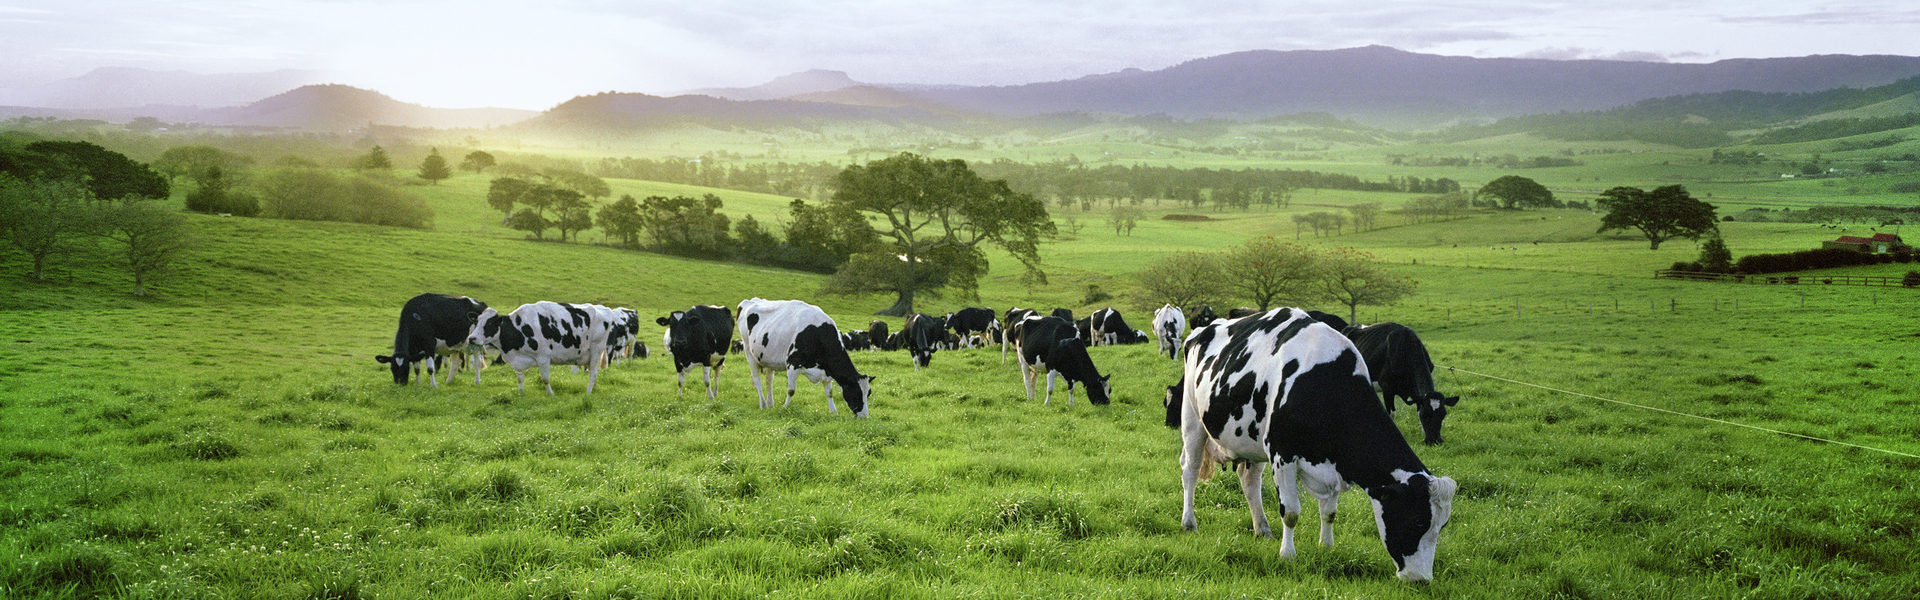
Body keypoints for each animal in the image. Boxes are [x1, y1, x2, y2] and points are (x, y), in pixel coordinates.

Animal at [466, 301, 613, 395]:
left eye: (490, 323)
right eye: (477, 321)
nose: (472, 338)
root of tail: (603, 308)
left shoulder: (543, 357)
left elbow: (545, 379)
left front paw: (550, 394)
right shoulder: (518, 361)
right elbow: (520, 378)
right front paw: (521, 393)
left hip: (596, 349)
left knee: (592, 373)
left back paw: (588, 393)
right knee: (594, 372)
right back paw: (594, 388)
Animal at [736, 298, 876, 417]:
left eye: (868, 393)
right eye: (856, 393)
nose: (864, 417)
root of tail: (749, 301)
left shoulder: (826, 370)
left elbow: (829, 393)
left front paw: (833, 412)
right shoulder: (792, 364)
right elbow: (791, 390)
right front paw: (785, 408)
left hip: (767, 358)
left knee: (769, 380)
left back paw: (770, 404)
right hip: (749, 352)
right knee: (757, 380)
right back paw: (763, 404)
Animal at [1165, 307, 1456, 582]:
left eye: (1442, 526)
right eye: (1417, 521)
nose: (1421, 579)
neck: (1323, 383)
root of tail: (1202, 330)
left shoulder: (1333, 462)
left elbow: (1329, 512)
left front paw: (1326, 547)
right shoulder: (1282, 454)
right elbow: (1291, 512)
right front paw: (1287, 556)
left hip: (1251, 441)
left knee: (1249, 481)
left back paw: (1262, 528)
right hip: (1192, 419)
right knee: (1189, 470)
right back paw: (1189, 523)